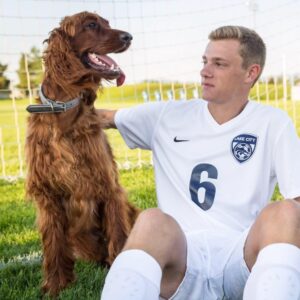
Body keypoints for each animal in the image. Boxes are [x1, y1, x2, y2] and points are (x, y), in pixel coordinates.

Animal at [24, 11, 139, 296]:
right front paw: (55, 286)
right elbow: (53, 245)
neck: (63, 107)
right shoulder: (48, 196)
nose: (128, 37)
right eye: (91, 25)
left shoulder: (108, 187)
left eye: (107, 24)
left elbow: (118, 234)